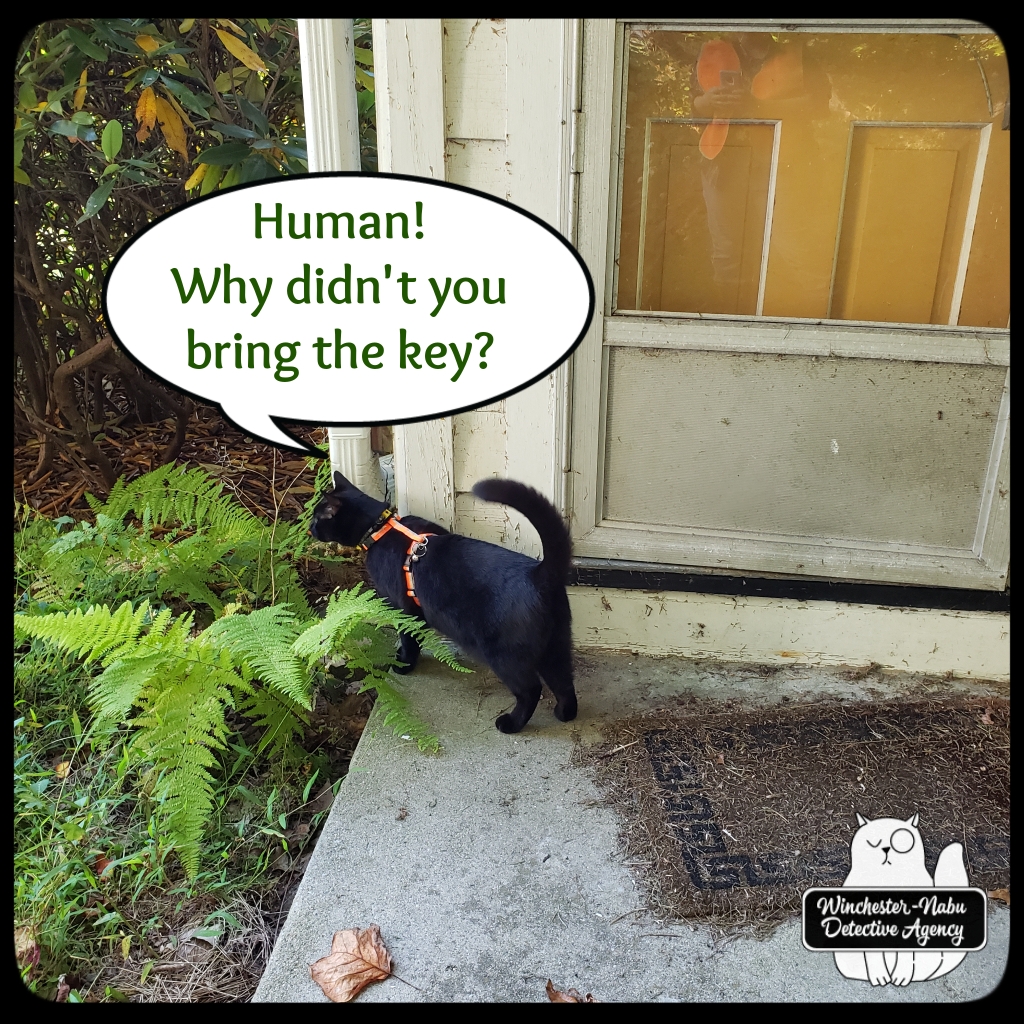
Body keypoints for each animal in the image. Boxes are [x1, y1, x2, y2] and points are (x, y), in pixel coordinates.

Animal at [310, 471, 577, 733]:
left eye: (317, 518)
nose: (310, 527)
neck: (381, 529)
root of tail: (538, 574)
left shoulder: (404, 609)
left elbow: (409, 639)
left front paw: (404, 664)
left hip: (505, 655)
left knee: (531, 690)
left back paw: (511, 723)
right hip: (557, 645)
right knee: (564, 680)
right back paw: (565, 713)